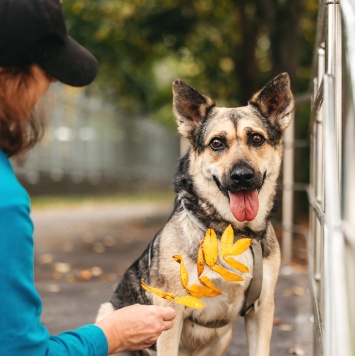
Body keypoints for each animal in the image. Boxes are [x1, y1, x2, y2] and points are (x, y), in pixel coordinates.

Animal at [96, 73, 294, 356]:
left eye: (256, 139)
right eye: (217, 143)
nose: (242, 176)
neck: (233, 232)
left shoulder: (262, 308)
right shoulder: (170, 313)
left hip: (223, 337)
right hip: (108, 314)